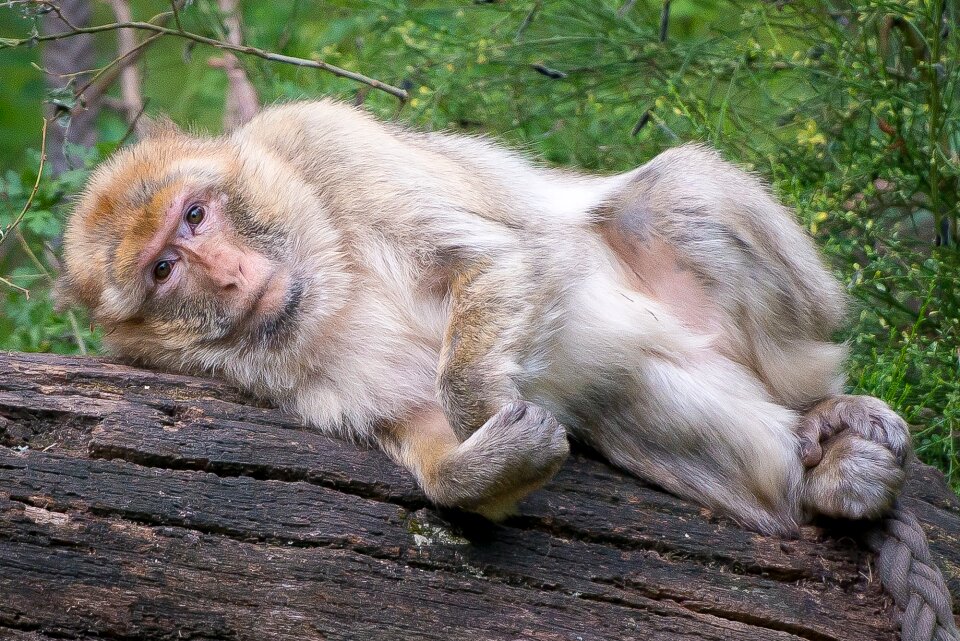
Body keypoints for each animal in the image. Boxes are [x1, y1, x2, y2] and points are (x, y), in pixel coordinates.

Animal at [56, 97, 912, 532]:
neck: (326, 272)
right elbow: (420, 433)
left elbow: (505, 254)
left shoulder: (322, 139)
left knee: (674, 193)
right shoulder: (293, 377)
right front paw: (481, 467)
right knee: (652, 411)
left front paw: (484, 404)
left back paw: (826, 410)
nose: (232, 276)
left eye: (197, 215)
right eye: (163, 270)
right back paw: (816, 484)